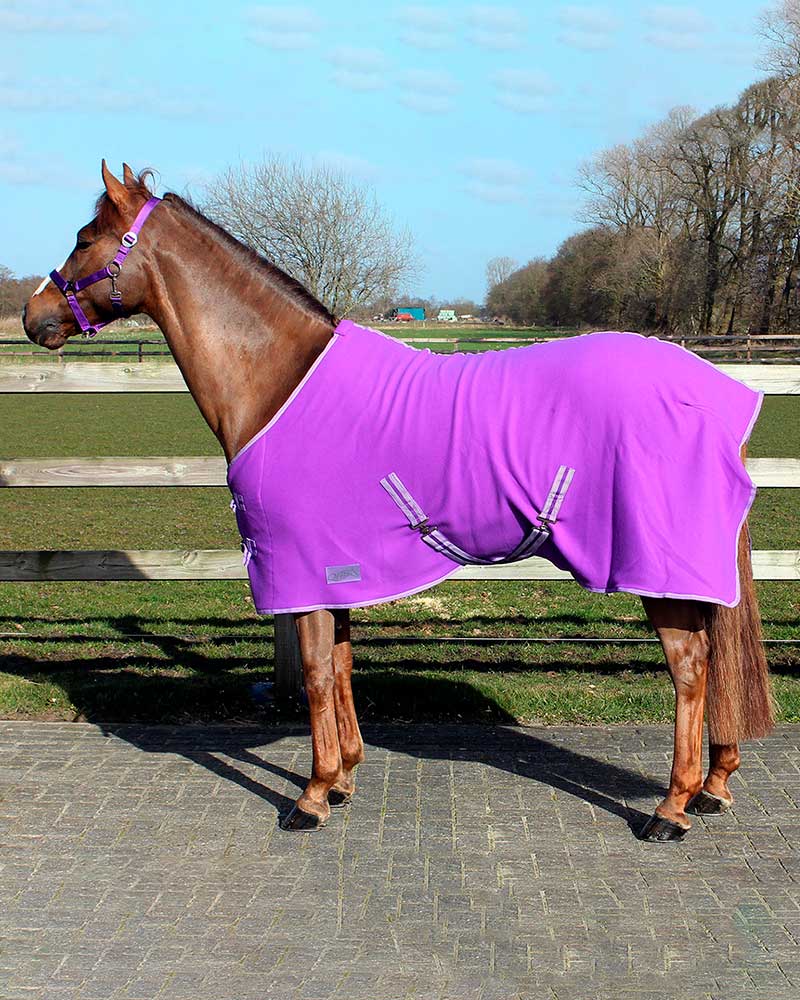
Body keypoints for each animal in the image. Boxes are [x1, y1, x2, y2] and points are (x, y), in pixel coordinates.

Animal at [22, 162, 774, 842]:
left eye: (85, 238)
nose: (33, 317)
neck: (278, 380)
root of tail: (712, 394)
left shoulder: (301, 568)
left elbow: (317, 675)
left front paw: (312, 797)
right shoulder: (338, 568)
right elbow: (343, 667)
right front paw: (346, 776)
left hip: (658, 570)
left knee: (691, 669)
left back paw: (671, 809)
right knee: (715, 664)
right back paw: (713, 787)